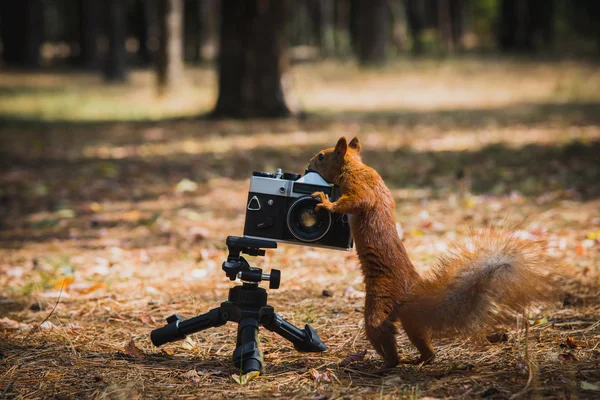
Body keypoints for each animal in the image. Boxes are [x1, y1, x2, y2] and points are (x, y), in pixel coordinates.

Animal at [310, 136, 556, 368]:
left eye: (321, 156)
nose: (309, 164)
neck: (355, 166)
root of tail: (412, 292)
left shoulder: (359, 186)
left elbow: (358, 201)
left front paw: (326, 203)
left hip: (380, 304)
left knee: (382, 335)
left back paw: (386, 364)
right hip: (411, 321)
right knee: (423, 341)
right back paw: (421, 359)